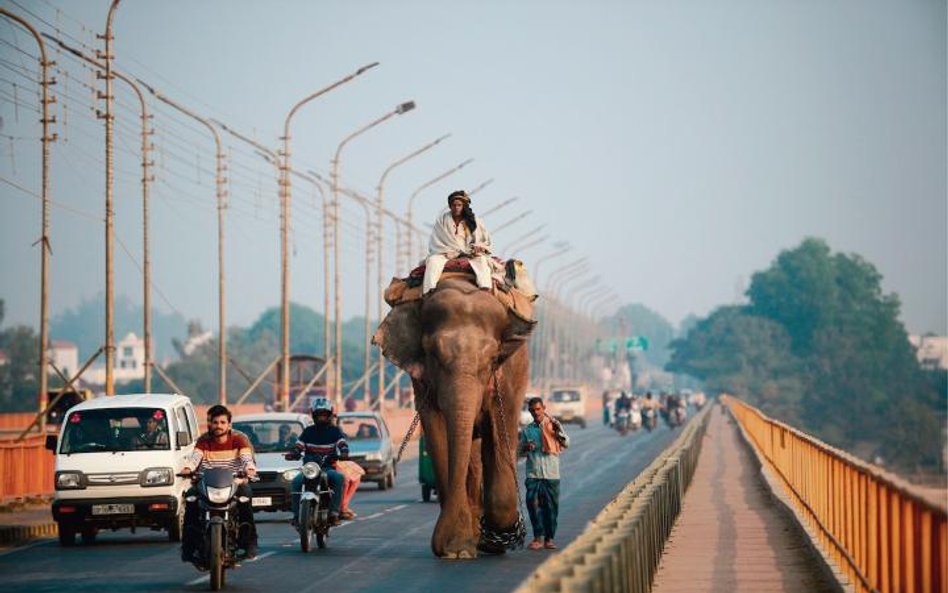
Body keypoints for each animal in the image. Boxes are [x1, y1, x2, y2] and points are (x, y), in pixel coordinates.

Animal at [376, 276, 536, 556]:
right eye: (432, 353)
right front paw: (457, 549)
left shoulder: (509, 375)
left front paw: (497, 537)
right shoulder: (422, 382)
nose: (443, 545)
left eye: (492, 358)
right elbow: (438, 433)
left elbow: (499, 431)